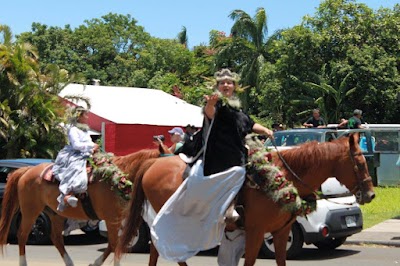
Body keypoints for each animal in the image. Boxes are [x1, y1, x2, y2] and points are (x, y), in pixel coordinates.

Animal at [0, 148, 166, 266]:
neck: (119, 179)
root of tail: (26, 171)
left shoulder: (122, 219)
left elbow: (117, 244)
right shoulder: (112, 219)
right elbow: (115, 244)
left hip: (55, 214)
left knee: (56, 238)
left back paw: (69, 263)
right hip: (31, 211)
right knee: (22, 235)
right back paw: (23, 263)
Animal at [115, 134, 376, 264]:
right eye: (359, 164)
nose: (371, 194)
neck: (282, 176)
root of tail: (154, 163)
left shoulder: (280, 233)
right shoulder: (256, 231)